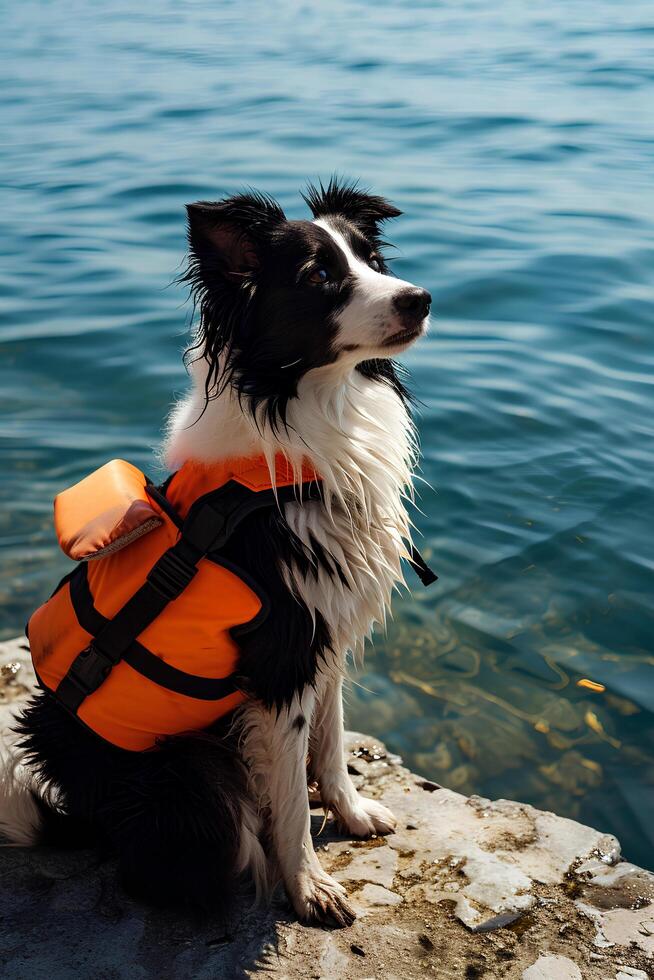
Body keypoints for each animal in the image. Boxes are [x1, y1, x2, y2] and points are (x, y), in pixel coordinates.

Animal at [2, 178, 434, 928]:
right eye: (318, 276)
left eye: (373, 259)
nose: (421, 297)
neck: (309, 414)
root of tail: (84, 812)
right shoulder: (283, 653)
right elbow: (288, 794)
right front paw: (309, 886)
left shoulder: (324, 631)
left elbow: (331, 741)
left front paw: (349, 813)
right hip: (188, 776)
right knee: (178, 862)